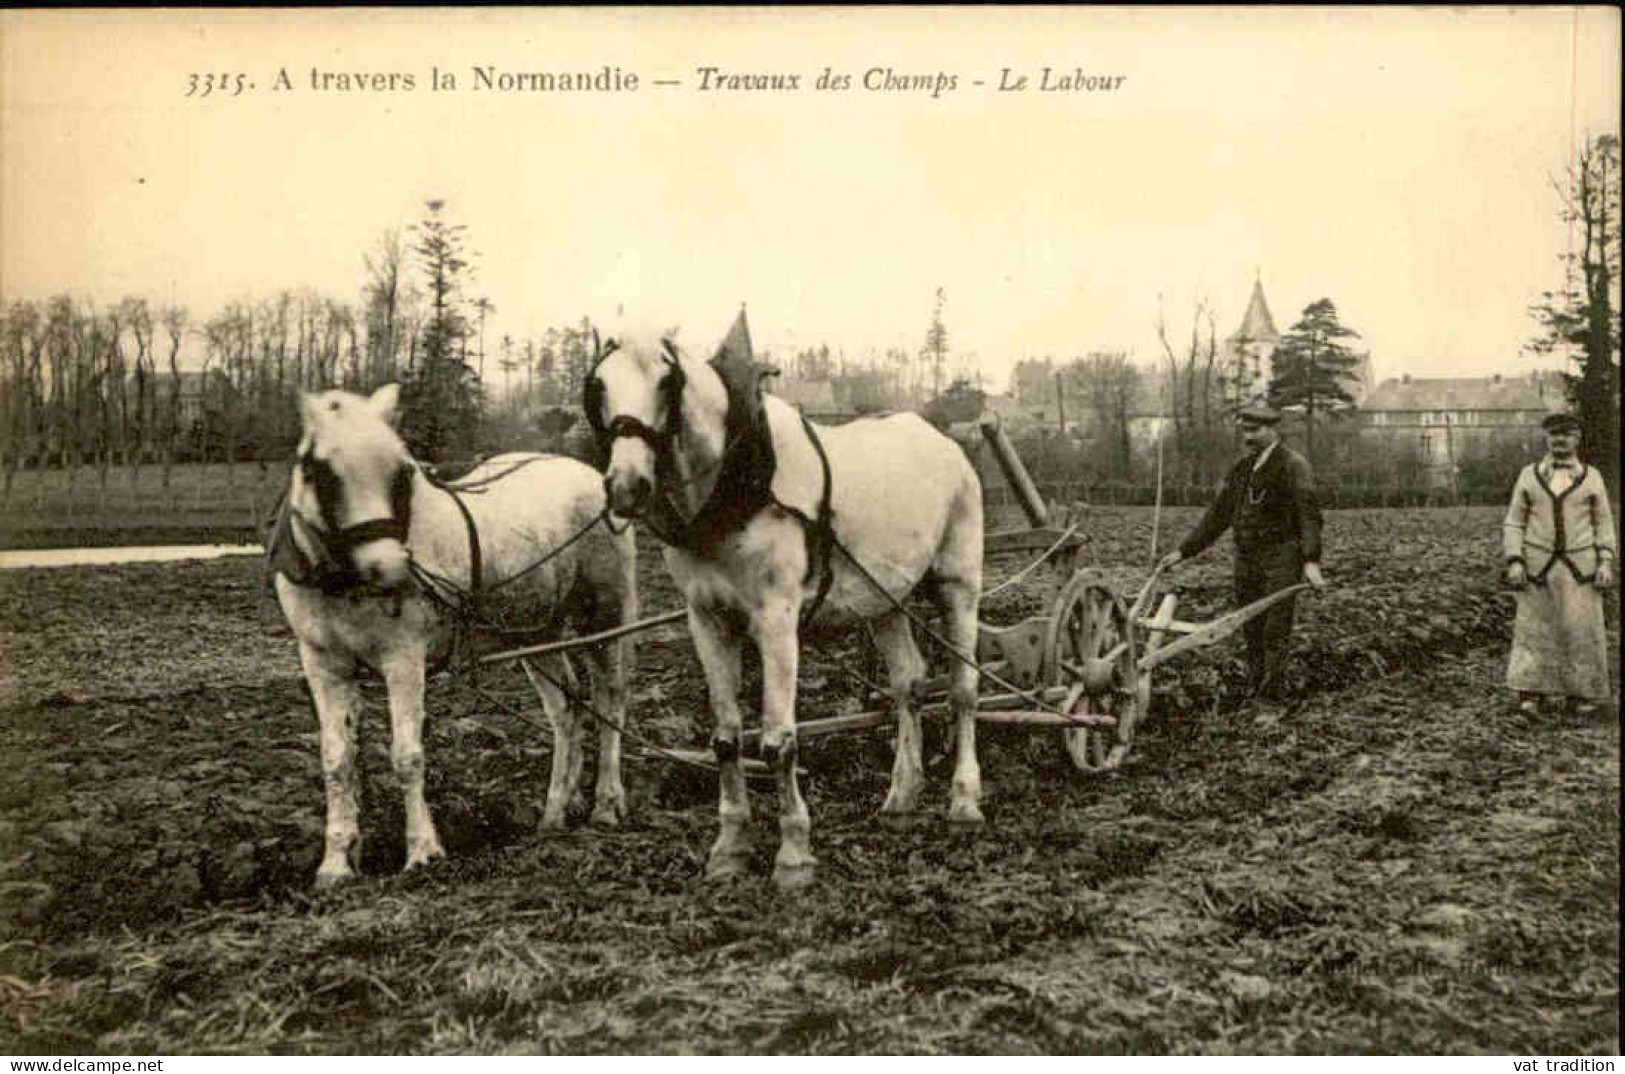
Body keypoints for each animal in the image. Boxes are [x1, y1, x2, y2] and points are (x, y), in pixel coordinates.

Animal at [266, 381, 633, 883]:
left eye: (402, 472)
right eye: (319, 471)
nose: (389, 567)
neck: (344, 581)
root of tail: (587, 474)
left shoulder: (404, 657)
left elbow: (407, 756)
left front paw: (423, 851)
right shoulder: (323, 662)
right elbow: (337, 761)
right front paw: (337, 863)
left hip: (604, 618)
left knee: (609, 702)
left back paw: (607, 805)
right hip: (536, 631)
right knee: (566, 710)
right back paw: (554, 813)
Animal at [588, 311, 988, 890]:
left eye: (666, 383)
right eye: (598, 385)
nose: (626, 486)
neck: (740, 481)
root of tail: (946, 443)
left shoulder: (775, 621)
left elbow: (778, 741)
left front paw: (794, 855)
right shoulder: (706, 620)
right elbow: (727, 738)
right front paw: (730, 849)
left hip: (959, 584)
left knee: (962, 690)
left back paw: (964, 802)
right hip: (886, 599)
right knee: (909, 685)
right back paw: (900, 797)